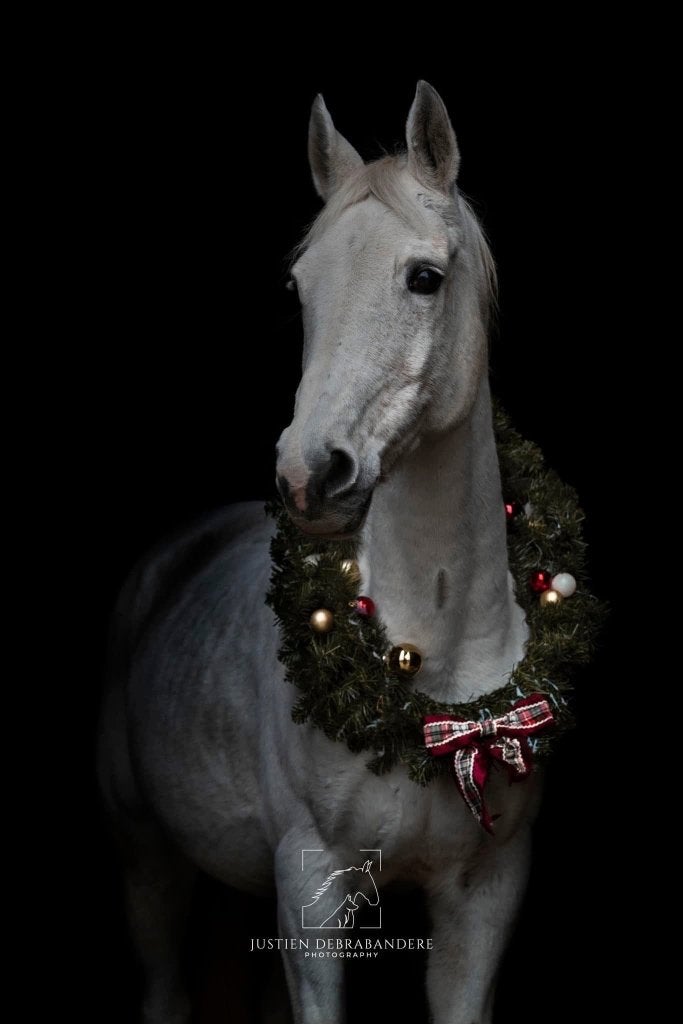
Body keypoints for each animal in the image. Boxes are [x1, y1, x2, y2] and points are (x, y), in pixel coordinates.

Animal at [98, 81, 539, 1024]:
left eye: (423, 278)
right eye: (300, 287)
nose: (309, 474)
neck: (435, 687)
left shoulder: (483, 900)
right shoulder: (312, 891)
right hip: (146, 860)